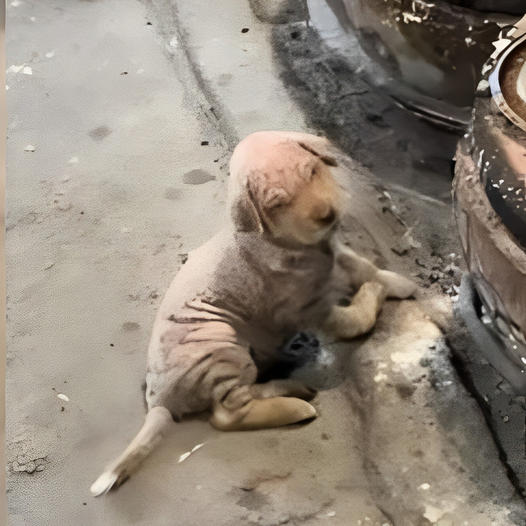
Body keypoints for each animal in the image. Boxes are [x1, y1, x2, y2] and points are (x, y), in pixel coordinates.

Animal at [92, 130, 420, 498]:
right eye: (277, 203)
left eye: (312, 172)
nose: (327, 215)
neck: (290, 243)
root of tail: (159, 399)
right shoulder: (310, 309)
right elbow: (354, 320)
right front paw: (374, 294)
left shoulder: (337, 255)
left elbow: (364, 266)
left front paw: (399, 283)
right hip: (221, 345)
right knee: (228, 412)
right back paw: (294, 405)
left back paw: (293, 387)